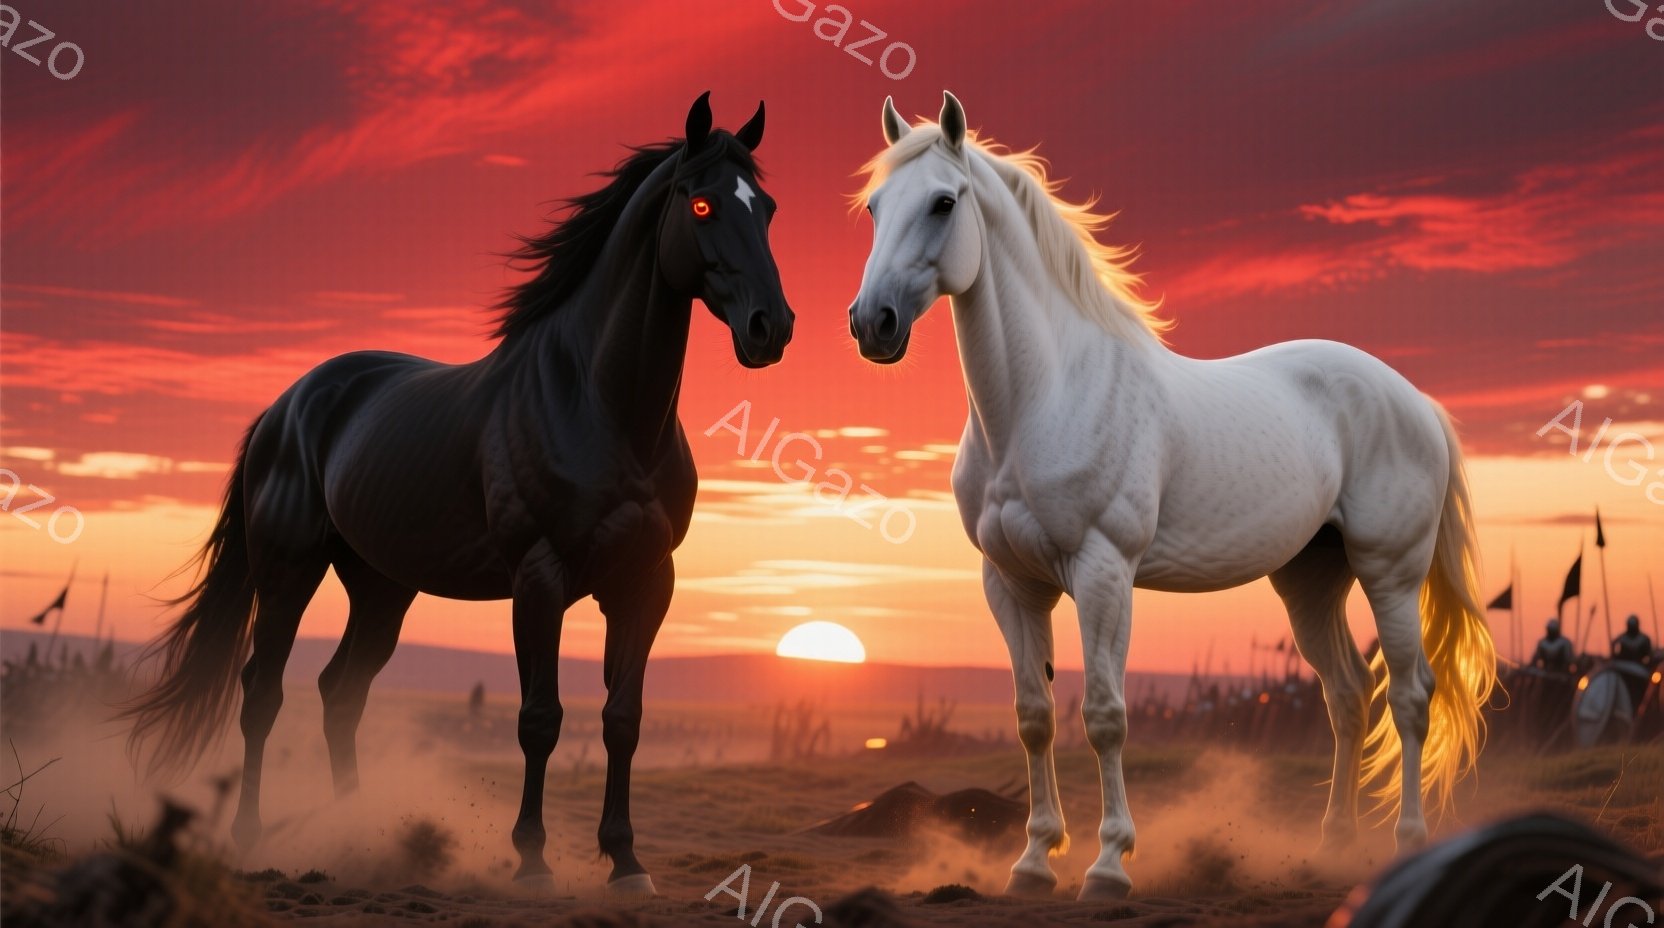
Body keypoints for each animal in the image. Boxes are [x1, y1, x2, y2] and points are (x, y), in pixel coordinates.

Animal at [122, 93, 794, 897]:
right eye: (700, 204)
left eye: (769, 209)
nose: (771, 328)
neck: (600, 405)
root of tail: (289, 405)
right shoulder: (539, 578)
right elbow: (540, 718)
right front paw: (532, 860)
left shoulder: (645, 583)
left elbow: (622, 718)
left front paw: (626, 862)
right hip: (288, 572)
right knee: (264, 691)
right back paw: (250, 836)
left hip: (381, 589)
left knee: (340, 693)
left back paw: (355, 832)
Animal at [847, 92, 1497, 900]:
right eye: (874, 207)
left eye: (943, 202)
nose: (871, 324)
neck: (1042, 400)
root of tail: (1415, 402)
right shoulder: (1011, 584)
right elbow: (1034, 715)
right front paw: (1033, 861)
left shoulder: (1102, 572)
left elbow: (1105, 715)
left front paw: (1108, 865)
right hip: (1311, 582)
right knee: (1347, 697)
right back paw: (1333, 843)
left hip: (1390, 575)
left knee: (1409, 696)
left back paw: (1404, 840)